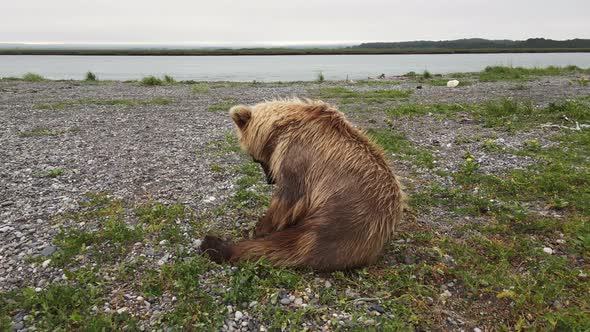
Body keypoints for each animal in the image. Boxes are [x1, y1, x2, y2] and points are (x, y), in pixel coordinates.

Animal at [202, 99, 408, 272]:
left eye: (256, 159)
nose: (270, 180)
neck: (281, 128)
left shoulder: (299, 159)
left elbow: (287, 199)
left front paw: (260, 227)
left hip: (345, 215)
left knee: (292, 246)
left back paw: (214, 245)